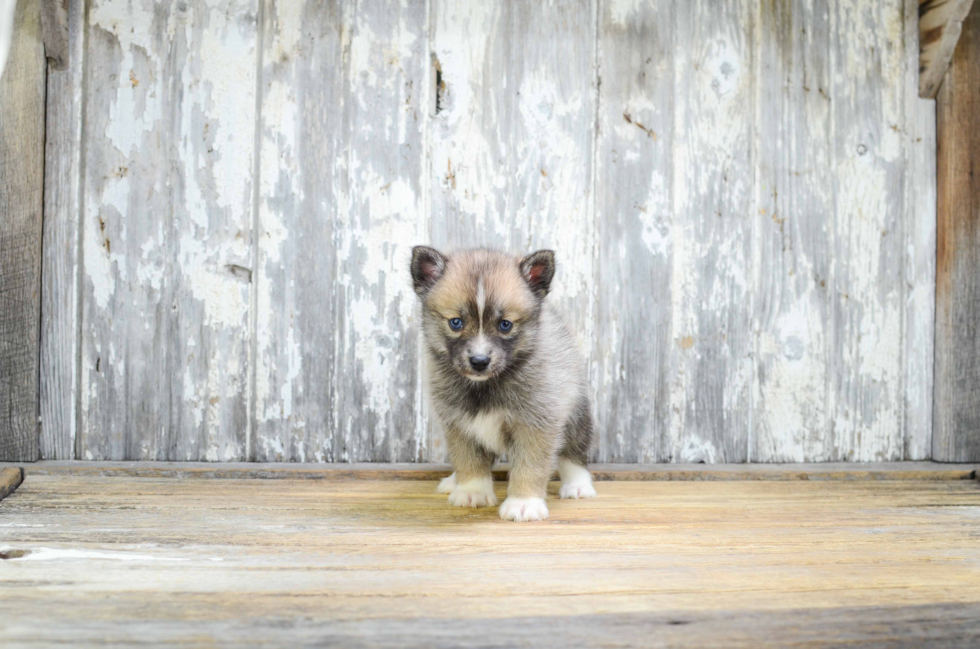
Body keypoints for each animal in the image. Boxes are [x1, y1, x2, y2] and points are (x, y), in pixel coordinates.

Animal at [408, 244, 592, 520]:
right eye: (455, 322)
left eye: (505, 325)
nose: (479, 361)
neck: (486, 384)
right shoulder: (458, 422)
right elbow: (468, 460)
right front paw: (471, 490)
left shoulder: (536, 422)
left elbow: (530, 465)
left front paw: (524, 502)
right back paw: (454, 481)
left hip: (576, 414)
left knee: (574, 453)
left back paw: (578, 485)